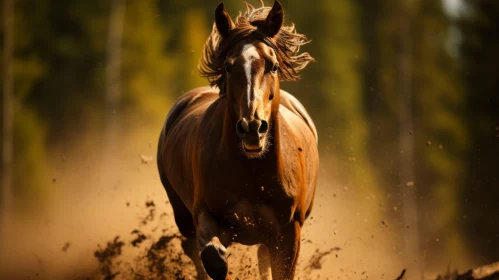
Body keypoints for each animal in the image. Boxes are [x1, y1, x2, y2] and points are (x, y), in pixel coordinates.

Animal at [157, 1, 320, 278]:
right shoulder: (204, 212)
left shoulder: (289, 234)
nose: (252, 127)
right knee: (191, 247)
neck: (250, 173)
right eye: (228, 66)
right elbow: (212, 257)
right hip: (182, 213)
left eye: (273, 65)